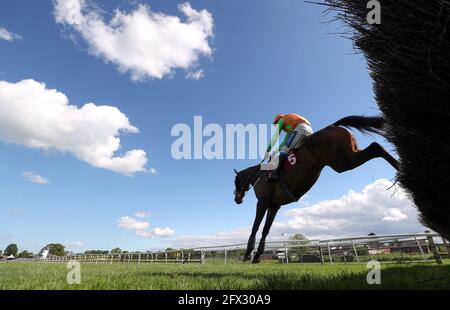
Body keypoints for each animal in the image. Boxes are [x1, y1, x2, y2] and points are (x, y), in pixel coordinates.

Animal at [234, 115, 400, 262]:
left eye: (235, 181)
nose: (236, 199)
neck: (259, 175)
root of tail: (332, 126)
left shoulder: (262, 202)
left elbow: (255, 227)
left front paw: (248, 254)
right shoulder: (274, 206)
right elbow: (265, 230)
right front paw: (256, 256)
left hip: (343, 161)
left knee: (375, 147)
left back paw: (400, 171)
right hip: (348, 156)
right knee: (376, 147)